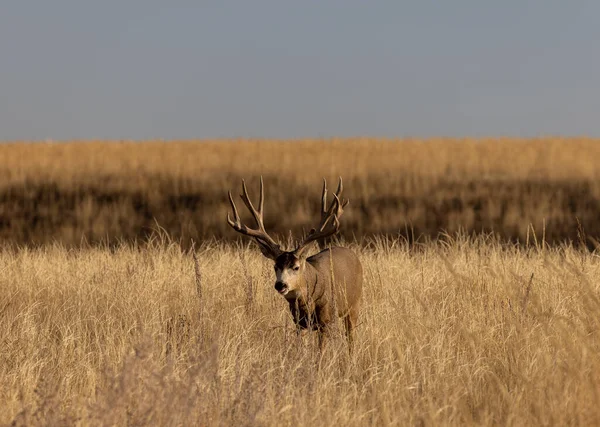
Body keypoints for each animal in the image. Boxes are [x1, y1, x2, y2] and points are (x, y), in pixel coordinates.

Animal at [227, 178, 364, 354]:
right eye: (275, 266)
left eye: (296, 267)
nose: (280, 285)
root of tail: (353, 254)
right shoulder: (299, 323)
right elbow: (302, 348)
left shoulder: (325, 320)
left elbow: (320, 352)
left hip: (354, 304)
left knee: (351, 338)